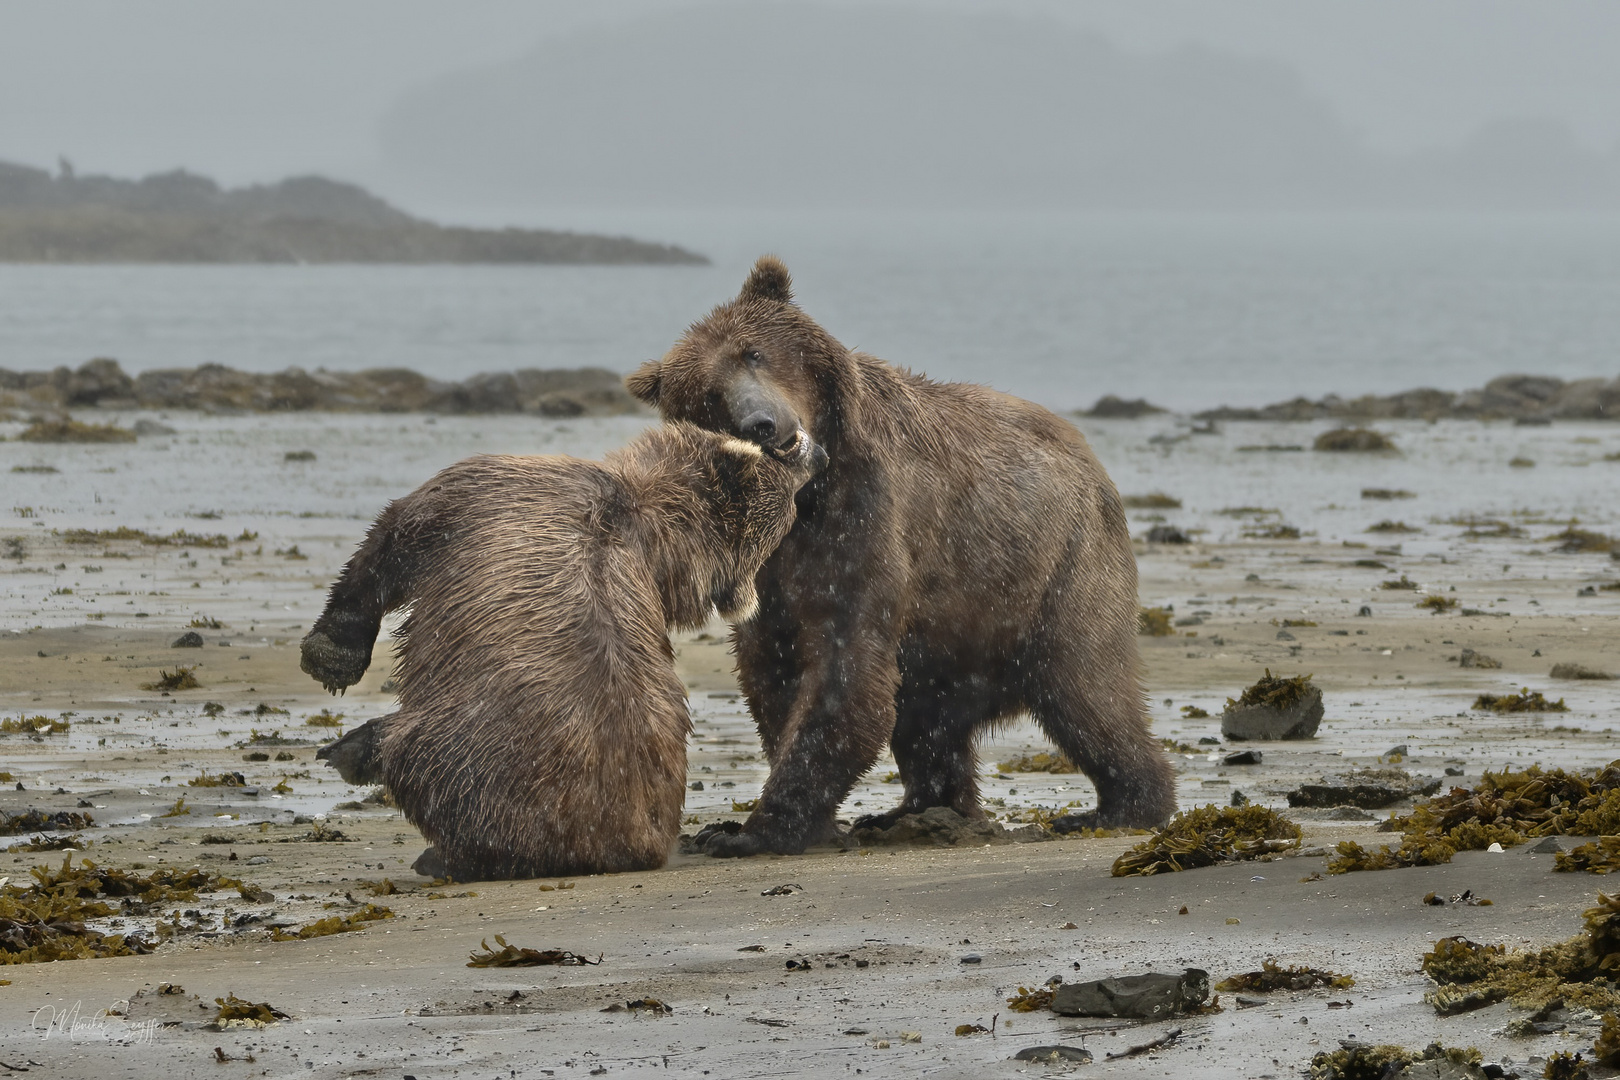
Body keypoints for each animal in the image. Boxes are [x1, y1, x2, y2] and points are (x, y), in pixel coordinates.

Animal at [298, 417, 822, 880]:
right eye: (788, 478)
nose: (814, 450)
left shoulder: (487, 492)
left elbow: (395, 537)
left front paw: (330, 655)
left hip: (471, 753)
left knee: (420, 761)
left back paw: (372, 774)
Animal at [625, 257, 1172, 854]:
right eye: (709, 393)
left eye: (754, 353)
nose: (763, 424)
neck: (808, 497)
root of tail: (1086, 455)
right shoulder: (772, 569)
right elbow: (775, 673)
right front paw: (762, 824)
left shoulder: (864, 524)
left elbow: (845, 676)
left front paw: (755, 830)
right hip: (954, 630)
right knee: (927, 719)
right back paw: (917, 810)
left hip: (1057, 567)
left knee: (1084, 687)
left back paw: (1121, 805)